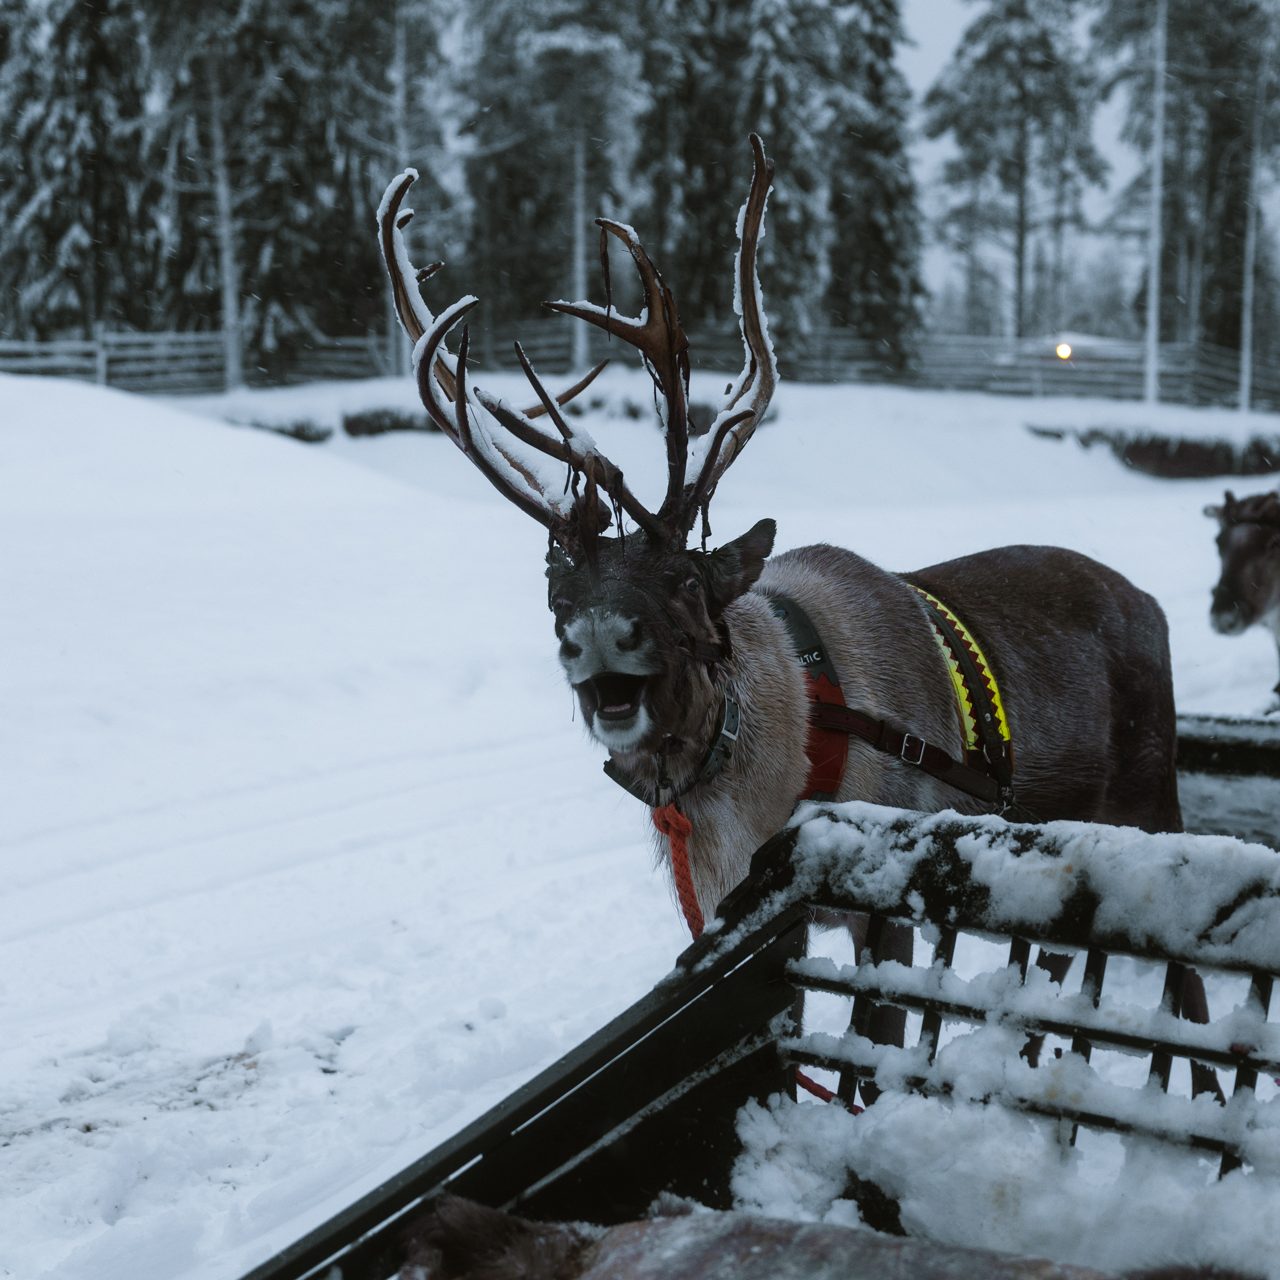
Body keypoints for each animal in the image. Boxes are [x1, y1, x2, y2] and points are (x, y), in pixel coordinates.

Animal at [378, 136, 1211, 1075]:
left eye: (685, 580)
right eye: (558, 593)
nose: (598, 637)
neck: (758, 794)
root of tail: (1150, 603)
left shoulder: (885, 891)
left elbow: (869, 1057)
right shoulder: (735, 916)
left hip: (1151, 805)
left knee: (1187, 982)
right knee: (1062, 971)